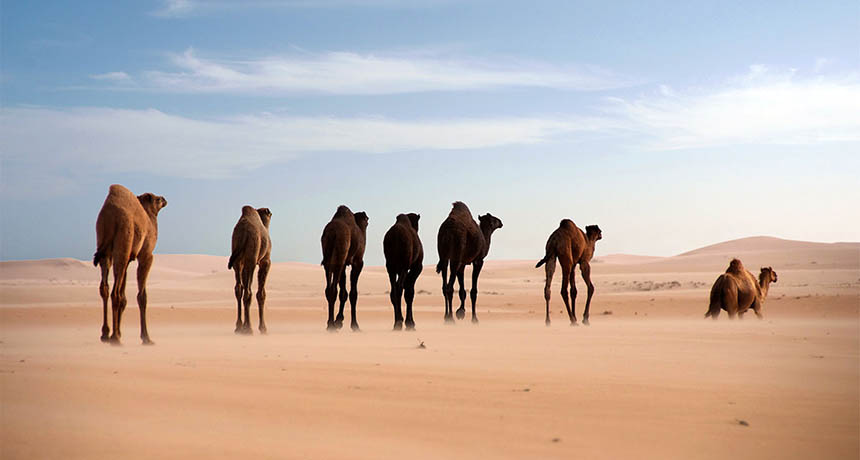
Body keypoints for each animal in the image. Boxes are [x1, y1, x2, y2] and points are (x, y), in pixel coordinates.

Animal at [93, 184, 167, 345]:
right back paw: (115, 339)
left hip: (106, 248)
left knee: (105, 288)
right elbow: (142, 296)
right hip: (123, 239)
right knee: (114, 292)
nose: (164, 199)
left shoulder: (128, 260)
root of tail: (110, 215)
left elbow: (124, 297)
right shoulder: (146, 255)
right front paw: (146, 338)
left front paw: (119, 332)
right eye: (157, 199)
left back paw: (106, 334)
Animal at [228, 206, 272, 334]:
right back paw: (249, 329)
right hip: (251, 257)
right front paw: (263, 328)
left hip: (237, 257)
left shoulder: (242, 262)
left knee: (239, 288)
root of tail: (243, 232)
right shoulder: (265, 261)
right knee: (248, 291)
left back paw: (239, 327)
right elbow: (261, 294)